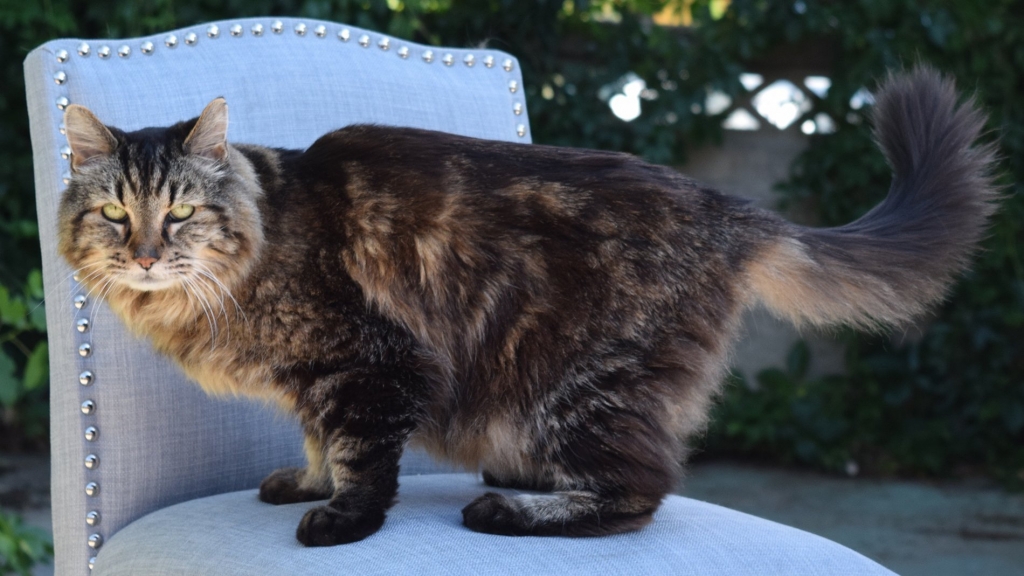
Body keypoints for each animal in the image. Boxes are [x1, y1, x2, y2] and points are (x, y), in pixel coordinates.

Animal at [58, 67, 999, 541]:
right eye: (116, 215)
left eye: (181, 212)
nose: (146, 255)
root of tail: (728, 207)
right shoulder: (320, 380)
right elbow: (319, 437)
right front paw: (309, 482)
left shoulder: (371, 362)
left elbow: (362, 456)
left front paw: (343, 519)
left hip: (581, 383)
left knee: (644, 489)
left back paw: (509, 509)